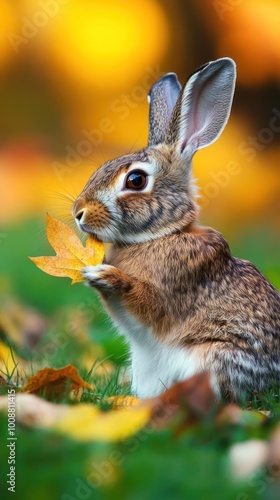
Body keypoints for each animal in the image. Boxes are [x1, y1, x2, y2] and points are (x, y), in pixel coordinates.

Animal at [72, 58, 280, 402]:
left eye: (136, 180)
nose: (78, 213)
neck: (162, 235)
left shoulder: (174, 290)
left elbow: (147, 303)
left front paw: (106, 276)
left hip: (214, 358)